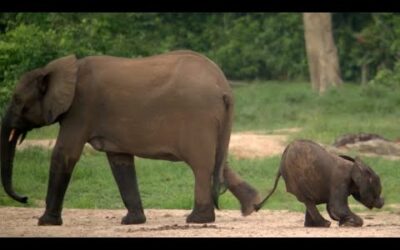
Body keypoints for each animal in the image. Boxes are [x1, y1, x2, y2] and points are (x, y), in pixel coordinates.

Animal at [0, 49, 260, 226]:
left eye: (17, 100)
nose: (24, 198)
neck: (58, 69)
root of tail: (224, 86)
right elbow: (120, 161)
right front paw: (132, 222)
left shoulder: (81, 109)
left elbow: (65, 154)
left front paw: (45, 222)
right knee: (216, 161)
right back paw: (252, 206)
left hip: (198, 116)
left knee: (201, 165)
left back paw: (197, 219)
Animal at [256, 140, 384, 228]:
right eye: (377, 189)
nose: (382, 202)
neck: (355, 166)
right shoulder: (340, 181)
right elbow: (337, 206)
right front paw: (348, 223)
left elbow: (331, 206)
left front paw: (343, 222)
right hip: (296, 179)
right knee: (308, 201)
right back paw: (325, 224)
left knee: (309, 202)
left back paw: (314, 225)